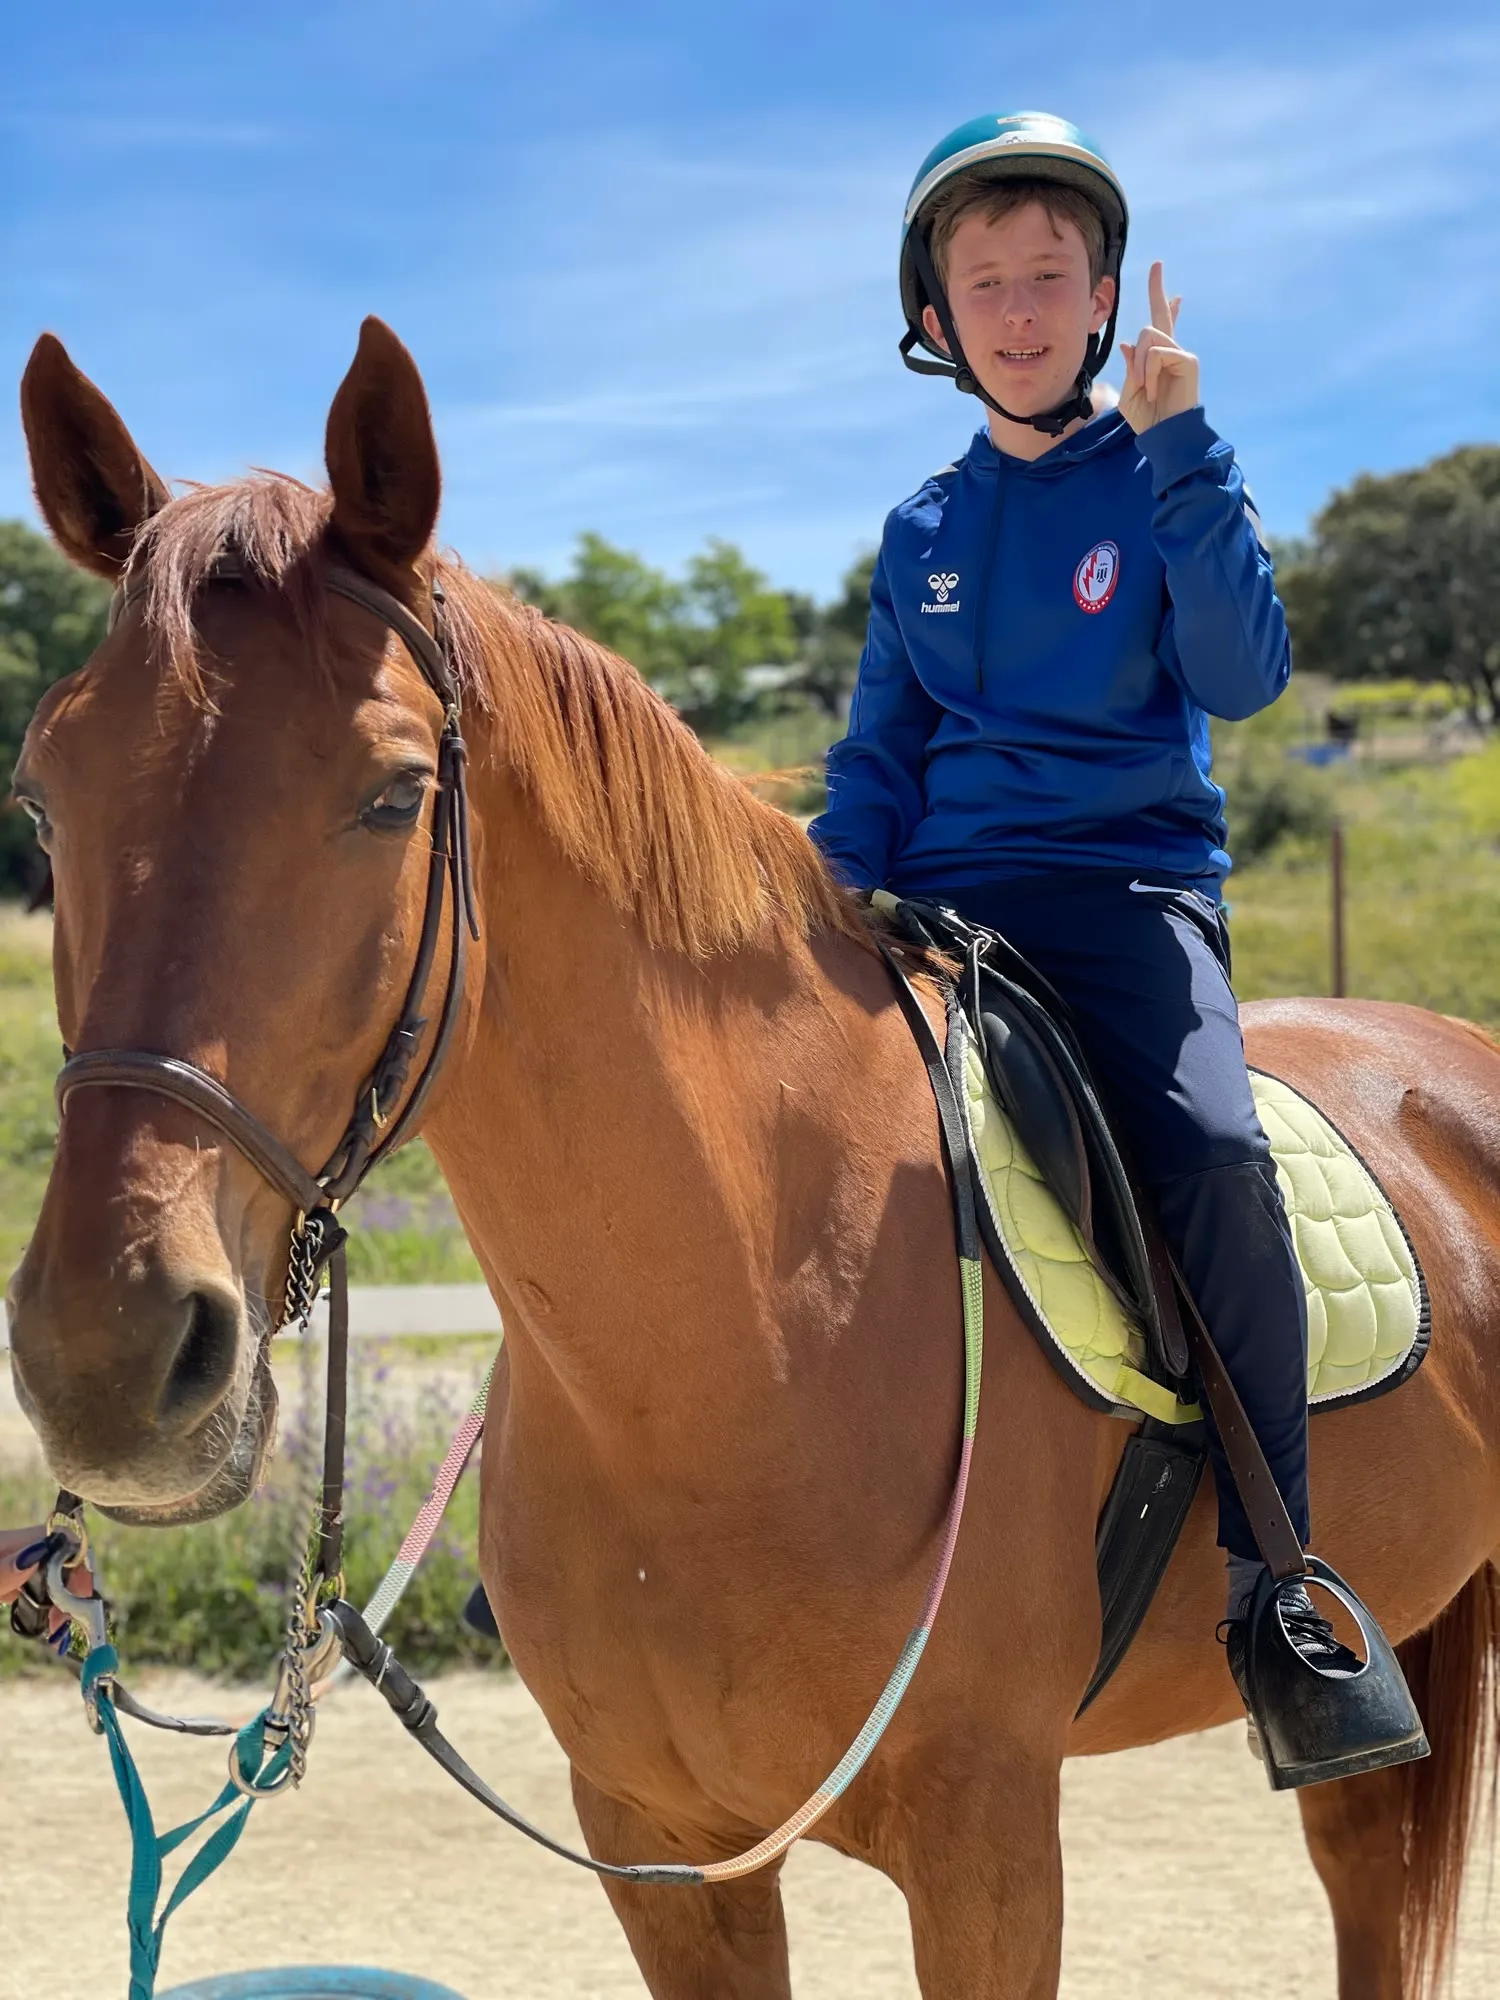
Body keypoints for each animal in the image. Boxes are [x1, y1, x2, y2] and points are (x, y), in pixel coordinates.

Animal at [8, 318, 1500, 2000]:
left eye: (395, 795)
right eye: (44, 800)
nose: (103, 1358)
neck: (744, 1333)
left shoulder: (989, 1851)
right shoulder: (663, 1855)